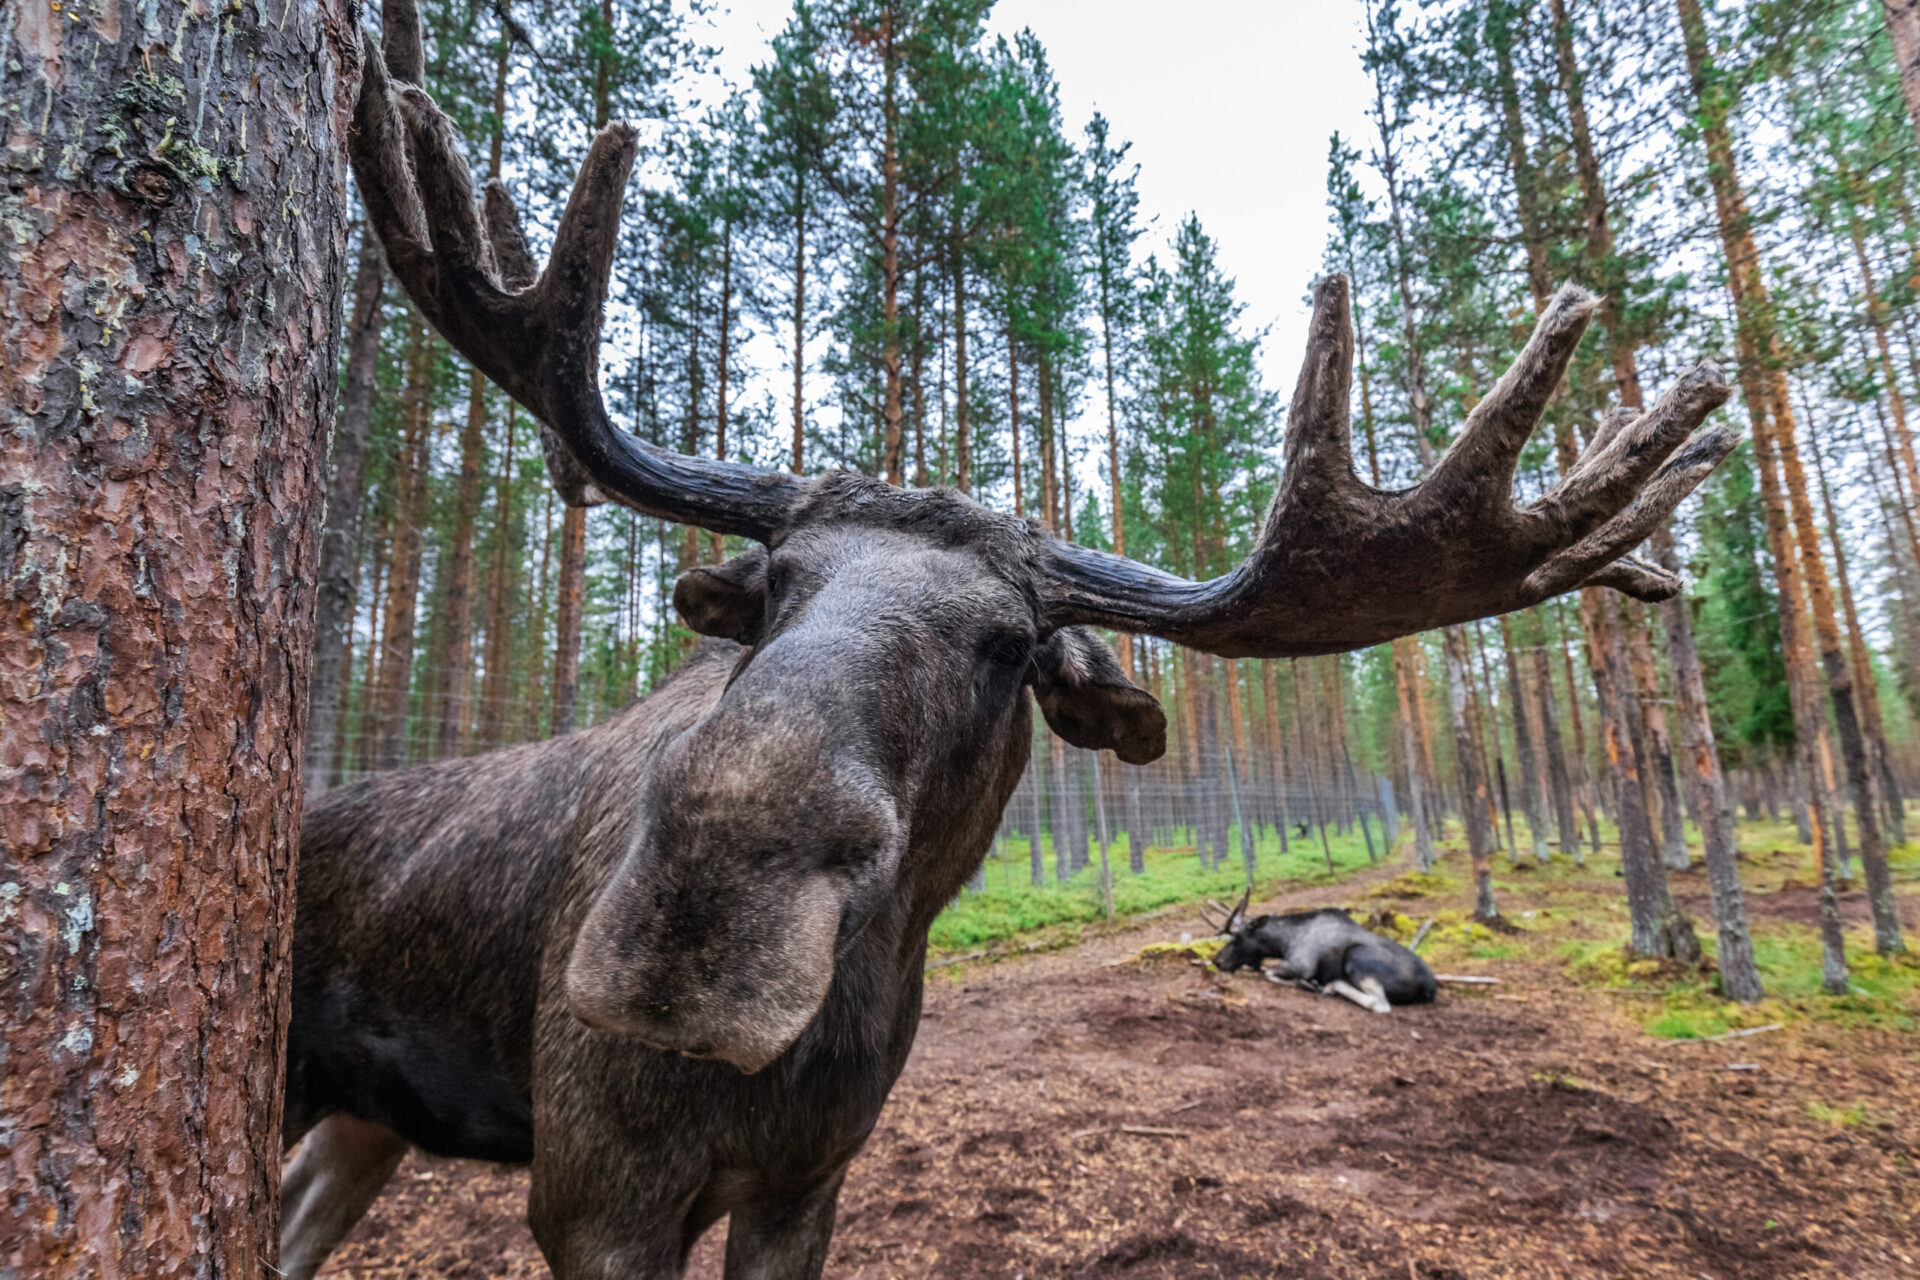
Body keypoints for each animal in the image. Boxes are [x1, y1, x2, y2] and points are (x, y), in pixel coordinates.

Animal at [278, 6, 1737, 1277]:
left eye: (1008, 647)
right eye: (775, 588)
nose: (697, 923)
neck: (839, 1023)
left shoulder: (806, 1185)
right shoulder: (595, 1196)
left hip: (363, 1121)